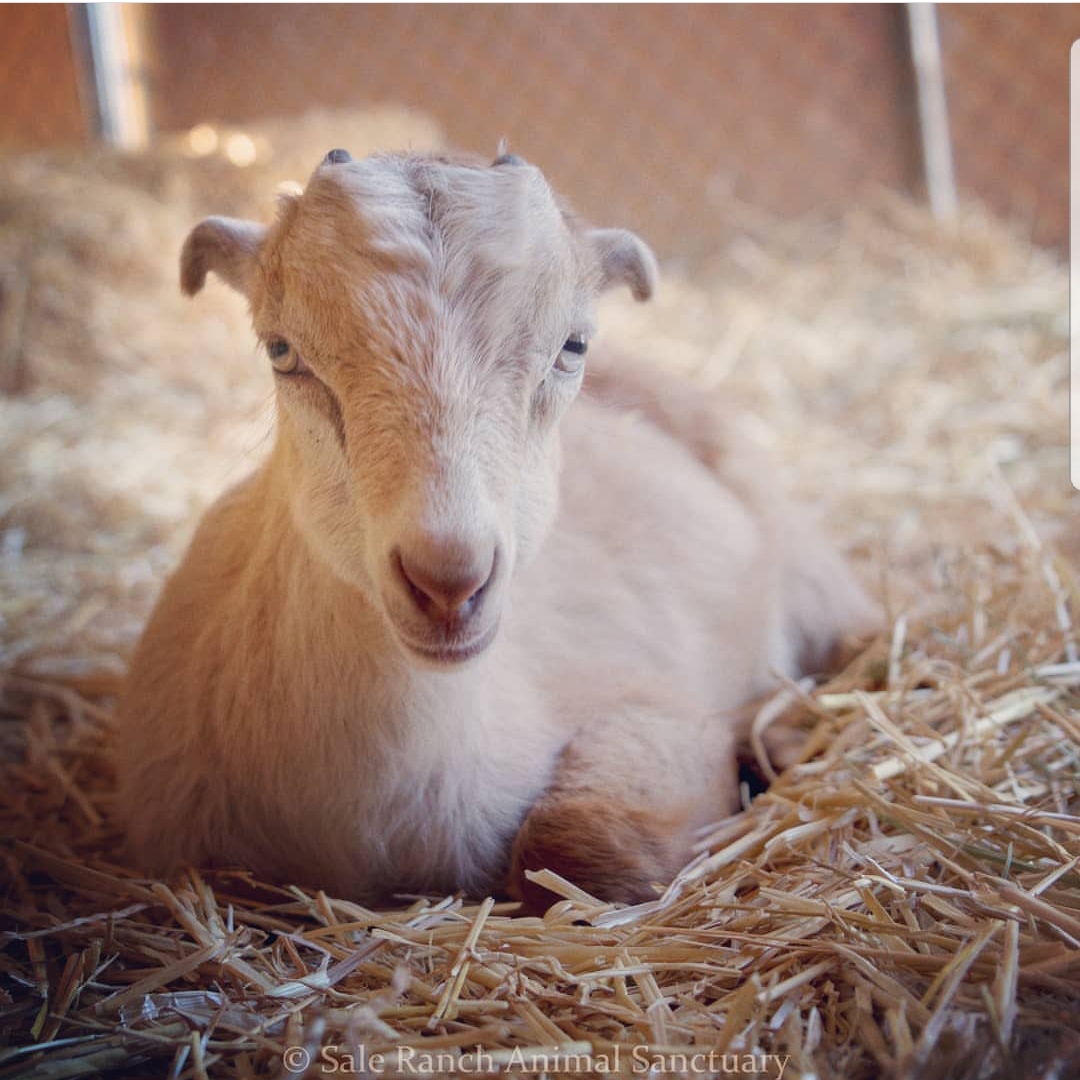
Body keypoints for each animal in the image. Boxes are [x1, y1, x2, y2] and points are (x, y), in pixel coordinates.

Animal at [116, 149, 877, 911]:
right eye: (281, 350)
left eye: (572, 345)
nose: (448, 582)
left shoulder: (658, 713)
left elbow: (580, 841)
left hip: (817, 583)